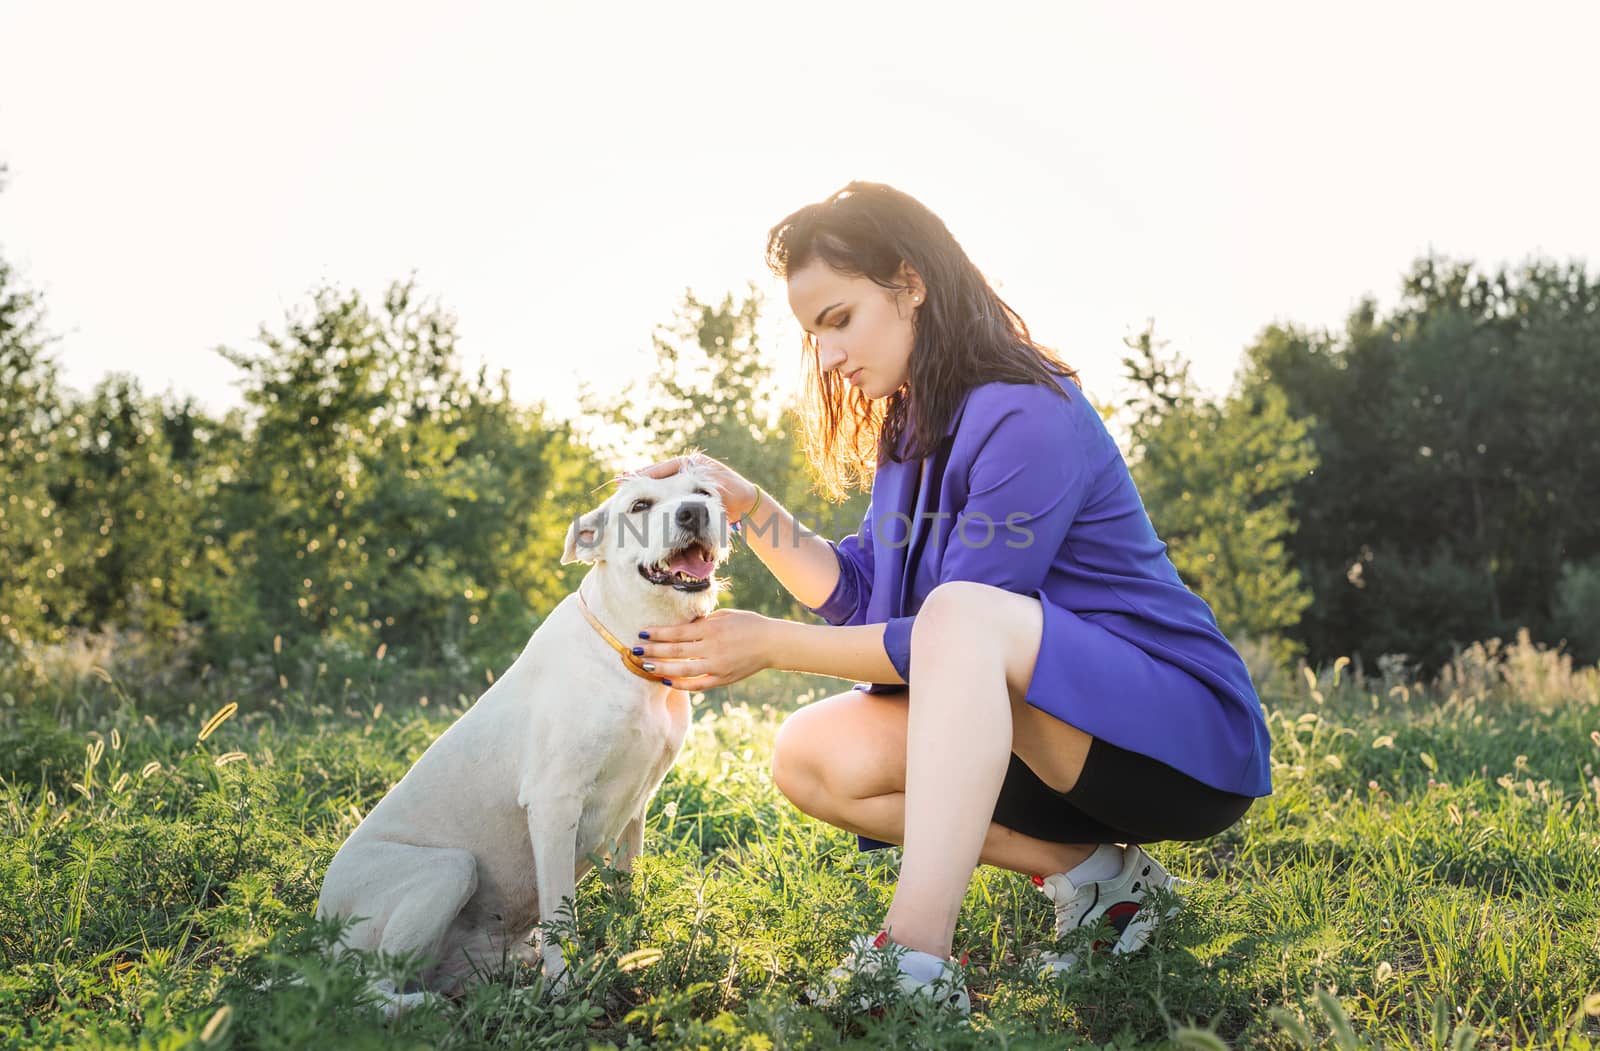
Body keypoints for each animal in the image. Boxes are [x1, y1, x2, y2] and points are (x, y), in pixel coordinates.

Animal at [310, 463, 732, 1011]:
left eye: (703, 492)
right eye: (639, 505)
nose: (694, 513)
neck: (630, 652)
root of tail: (318, 931)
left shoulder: (637, 807)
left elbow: (627, 891)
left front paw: (632, 951)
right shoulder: (554, 805)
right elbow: (560, 913)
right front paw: (565, 985)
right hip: (450, 868)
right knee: (370, 990)